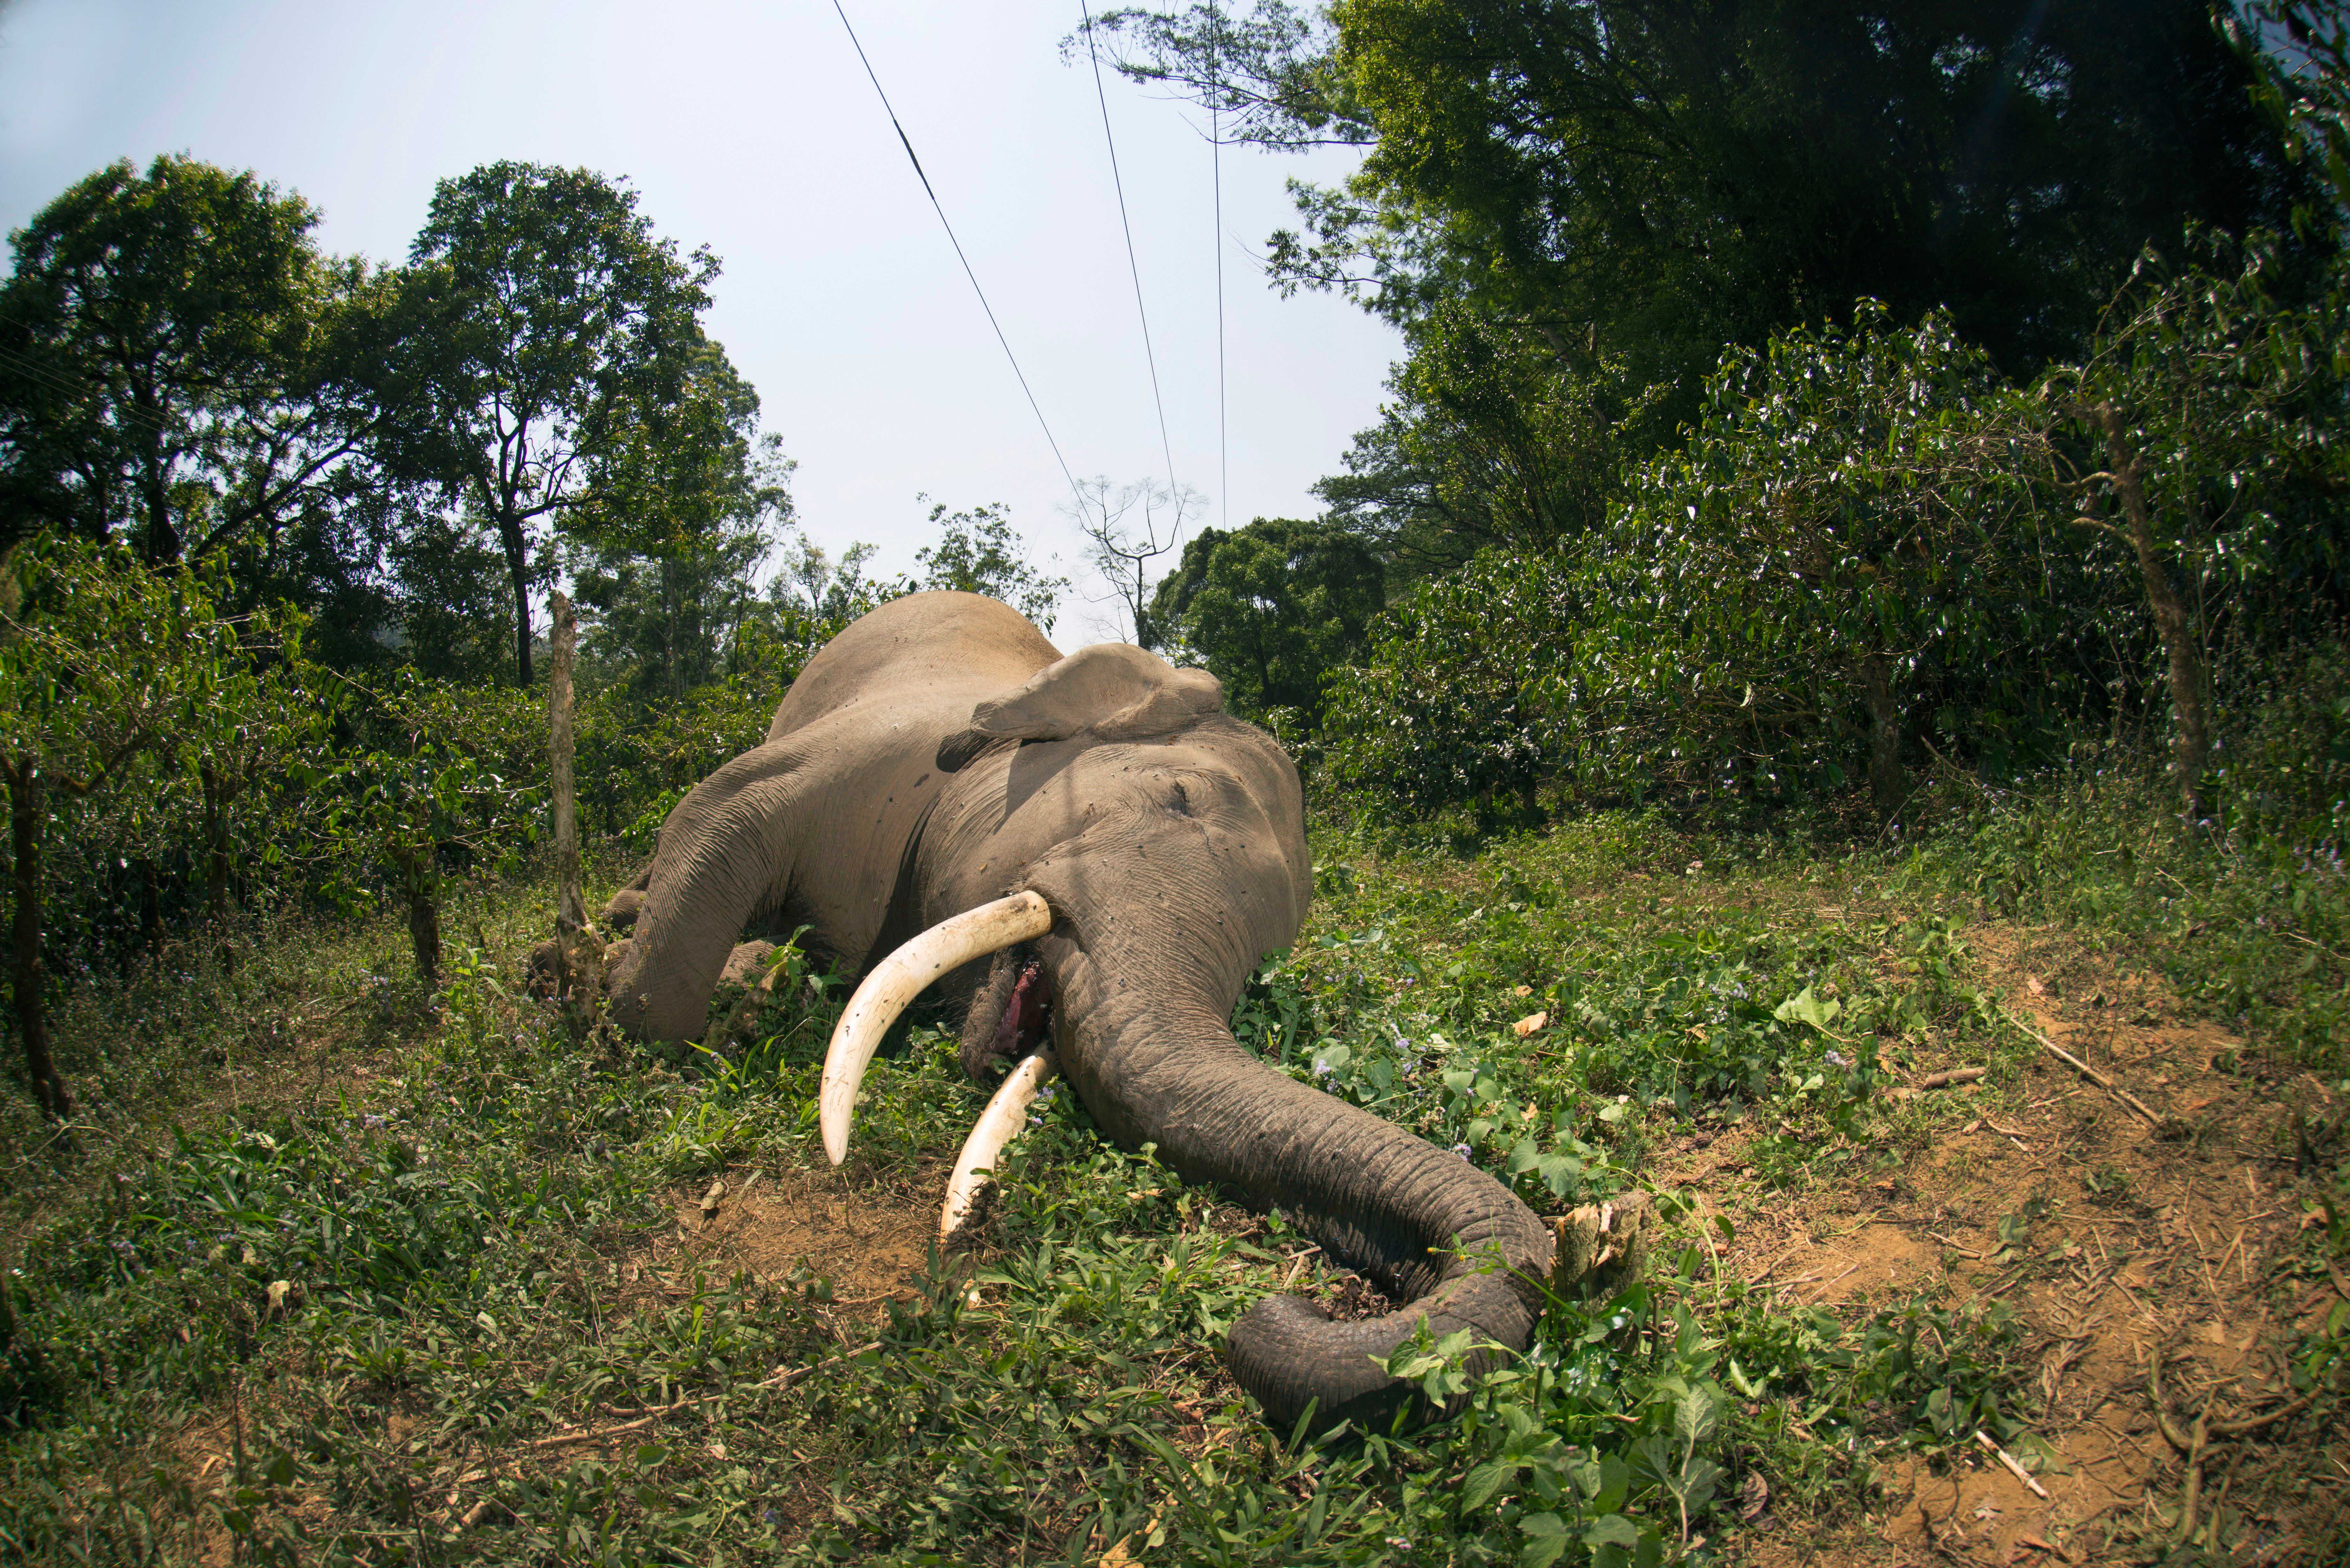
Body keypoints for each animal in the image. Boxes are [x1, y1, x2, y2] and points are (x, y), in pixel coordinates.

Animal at [591, 591, 1554, 1432]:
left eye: (1266, 958)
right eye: (1176, 797)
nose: (1284, 1305)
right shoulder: (871, 754)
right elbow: (719, 819)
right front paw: (662, 1000)